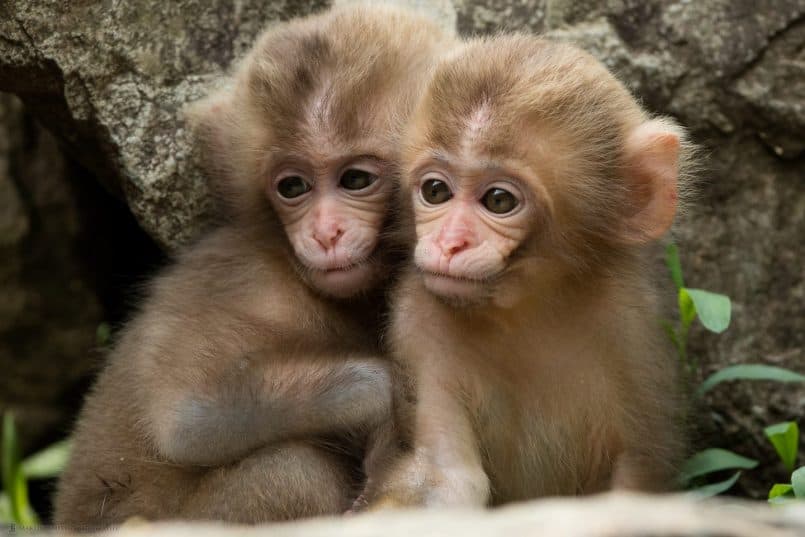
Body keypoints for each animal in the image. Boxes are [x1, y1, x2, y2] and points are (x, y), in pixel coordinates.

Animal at [56, 4, 452, 524]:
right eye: (292, 187)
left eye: (355, 179)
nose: (325, 233)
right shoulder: (243, 279)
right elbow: (187, 419)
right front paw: (383, 396)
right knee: (293, 471)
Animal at [374, 34, 688, 506]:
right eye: (436, 191)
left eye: (499, 200)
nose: (449, 242)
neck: (527, 310)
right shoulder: (417, 320)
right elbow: (443, 477)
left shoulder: (630, 328)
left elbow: (637, 469)